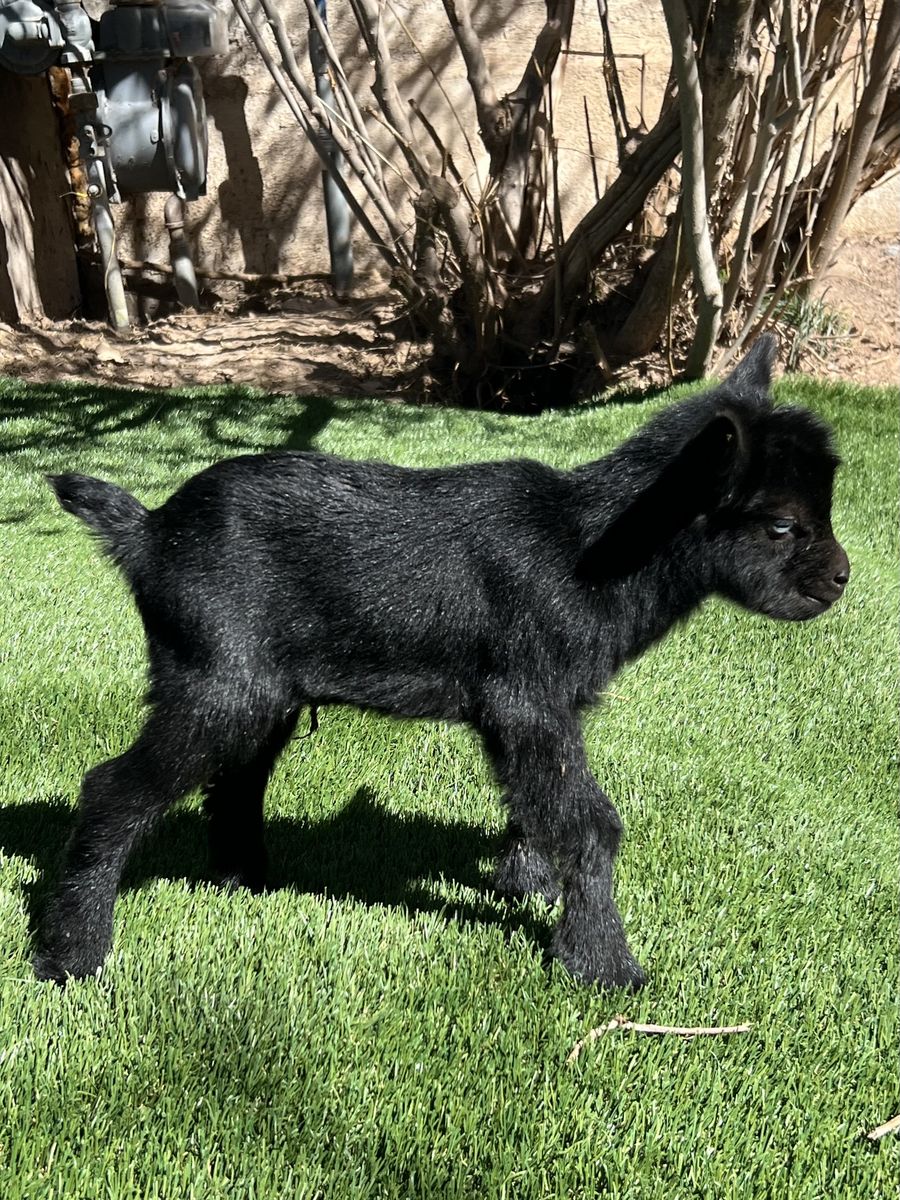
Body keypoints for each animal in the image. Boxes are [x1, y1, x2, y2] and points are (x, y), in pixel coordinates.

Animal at [34, 336, 849, 987]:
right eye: (783, 525)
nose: (840, 579)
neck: (592, 545)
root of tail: (148, 533)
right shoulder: (526, 696)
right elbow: (588, 822)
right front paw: (602, 963)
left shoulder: (536, 711)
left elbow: (532, 803)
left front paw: (526, 885)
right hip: (216, 677)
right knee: (114, 790)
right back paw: (72, 955)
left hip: (262, 690)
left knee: (235, 783)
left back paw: (243, 882)